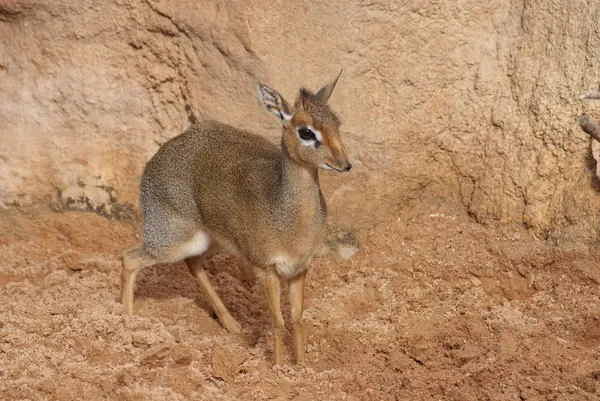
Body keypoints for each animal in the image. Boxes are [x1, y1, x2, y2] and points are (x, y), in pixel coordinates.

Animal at [121, 70, 352, 364]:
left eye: (337, 123)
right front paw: (278, 368)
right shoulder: (266, 269)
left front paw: (300, 366)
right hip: (172, 240)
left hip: (212, 242)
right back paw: (125, 321)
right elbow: (278, 323)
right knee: (129, 259)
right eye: (306, 132)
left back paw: (231, 324)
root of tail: (157, 157)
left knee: (192, 263)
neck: (287, 217)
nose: (345, 164)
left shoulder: (300, 269)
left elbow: (297, 320)